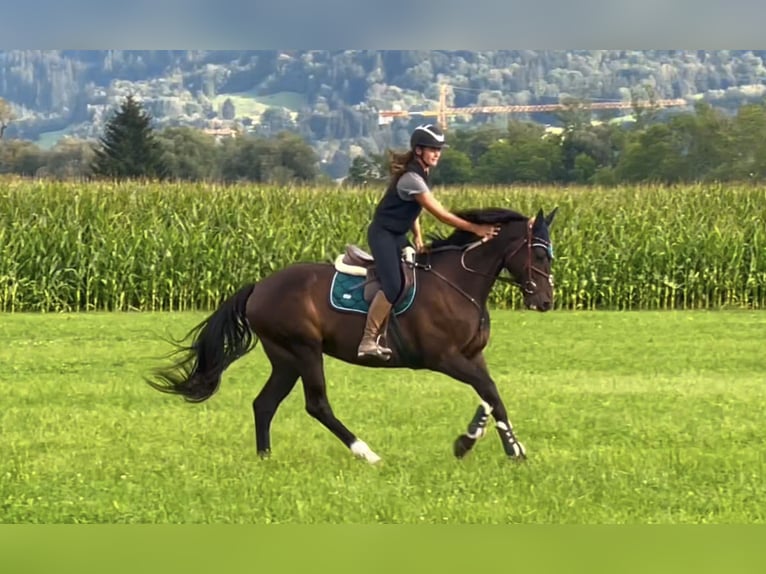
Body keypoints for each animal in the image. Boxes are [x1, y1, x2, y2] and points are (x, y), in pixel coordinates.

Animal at [148, 207, 560, 464]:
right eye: (540, 256)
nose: (545, 301)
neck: (458, 281)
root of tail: (259, 287)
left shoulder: (473, 357)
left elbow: (493, 397)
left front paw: (501, 446)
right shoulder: (445, 359)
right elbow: (489, 392)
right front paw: (482, 444)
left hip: (285, 359)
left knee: (264, 404)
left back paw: (265, 457)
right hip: (304, 351)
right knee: (317, 405)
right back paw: (367, 453)